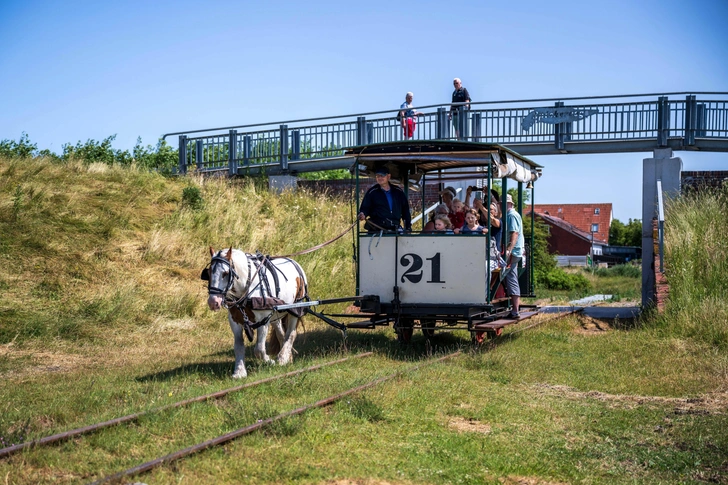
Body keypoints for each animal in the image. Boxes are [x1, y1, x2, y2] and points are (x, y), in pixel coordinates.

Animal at [203, 246, 308, 378]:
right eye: (208, 273)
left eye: (225, 273)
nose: (213, 302)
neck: (245, 289)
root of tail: (294, 263)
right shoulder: (235, 321)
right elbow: (238, 346)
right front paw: (239, 372)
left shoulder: (263, 321)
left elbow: (259, 349)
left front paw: (270, 361)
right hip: (276, 314)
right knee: (281, 335)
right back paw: (287, 357)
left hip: (295, 309)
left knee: (291, 334)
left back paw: (282, 359)